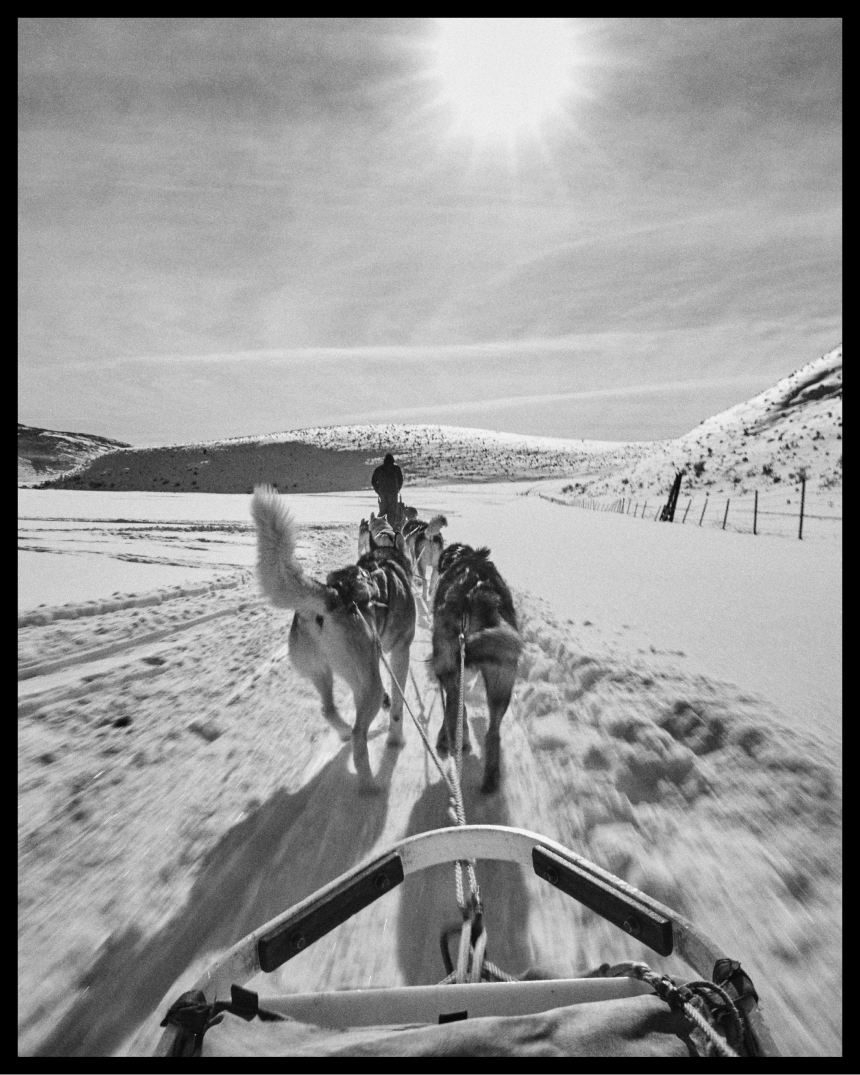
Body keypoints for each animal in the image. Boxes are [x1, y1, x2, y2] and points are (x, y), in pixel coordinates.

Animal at [251, 488, 417, 791]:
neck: (385, 557)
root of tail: (330, 598)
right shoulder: (401, 651)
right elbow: (398, 707)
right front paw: (396, 739)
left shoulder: (377, 657)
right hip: (368, 683)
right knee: (359, 733)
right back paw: (369, 785)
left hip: (324, 672)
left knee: (328, 709)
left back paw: (342, 732)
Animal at [434, 541, 520, 795]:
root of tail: (481, 594)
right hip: (502, 684)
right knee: (493, 734)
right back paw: (491, 778)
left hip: (448, 666)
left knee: (454, 709)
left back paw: (452, 744)